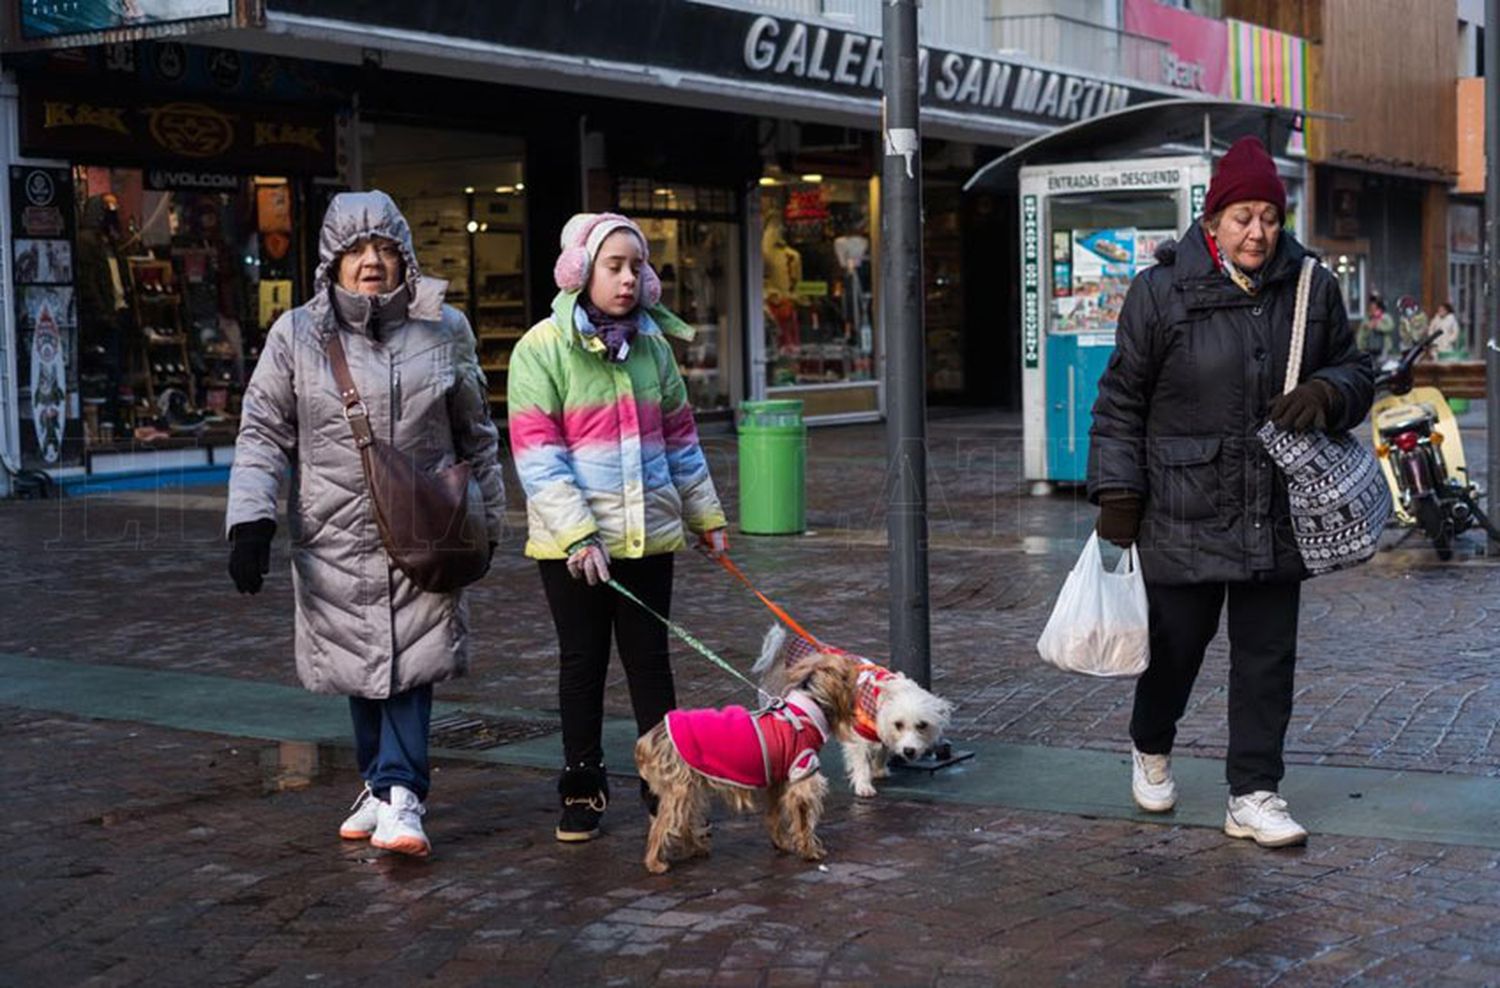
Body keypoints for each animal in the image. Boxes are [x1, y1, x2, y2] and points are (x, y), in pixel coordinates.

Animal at [633, 656, 864, 875]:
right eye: (849, 676)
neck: (808, 706)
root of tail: (648, 739)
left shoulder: (778, 779)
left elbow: (774, 815)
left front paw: (781, 843)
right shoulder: (803, 771)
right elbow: (804, 820)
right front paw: (810, 851)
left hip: (689, 786)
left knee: (683, 820)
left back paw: (697, 847)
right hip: (680, 787)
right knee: (664, 823)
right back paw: (655, 863)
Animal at [750, 629, 948, 797]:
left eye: (922, 725)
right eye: (898, 724)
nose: (909, 751)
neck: (879, 697)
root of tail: (780, 654)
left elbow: (882, 750)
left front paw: (879, 770)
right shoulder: (857, 734)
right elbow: (861, 761)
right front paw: (863, 785)